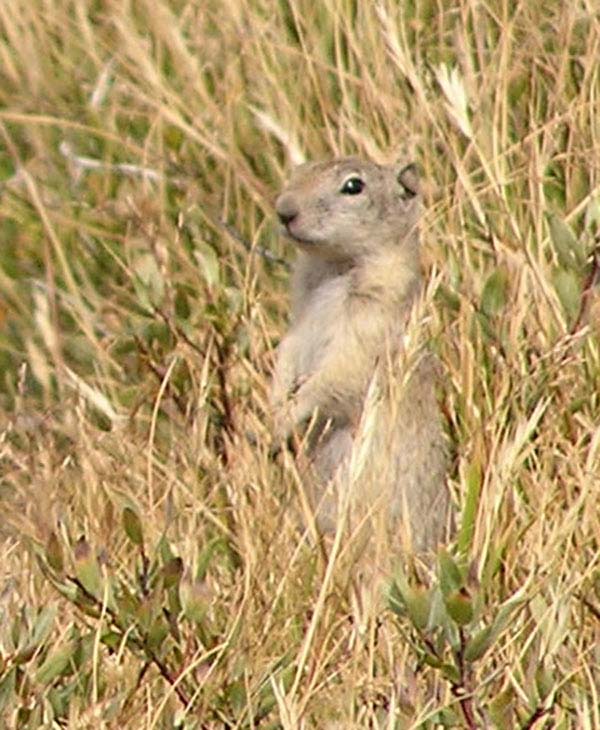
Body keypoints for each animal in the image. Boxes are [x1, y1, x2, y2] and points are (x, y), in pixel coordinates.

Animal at [272, 155, 450, 552]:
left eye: (354, 186)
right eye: (299, 171)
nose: (283, 211)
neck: (332, 268)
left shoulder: (366, 333)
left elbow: (334, 378)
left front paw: (282, 419)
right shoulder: (297, 328)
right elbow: (285, 354)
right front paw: (265, 414)